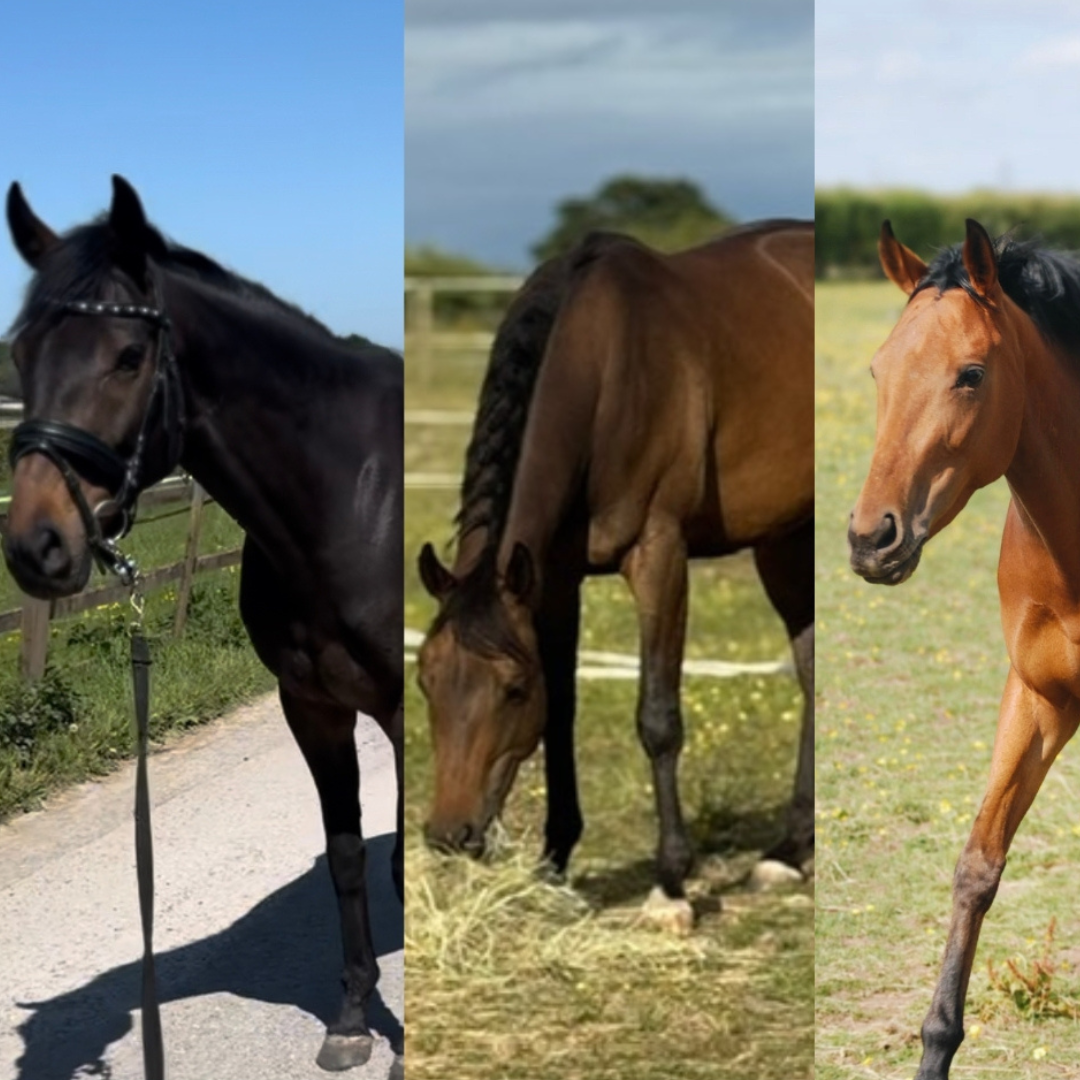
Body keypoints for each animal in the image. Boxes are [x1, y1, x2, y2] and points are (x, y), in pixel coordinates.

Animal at [3, 176, 402, 1075]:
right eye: (21, 350)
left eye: (128, 355)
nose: (36, 545)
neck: (351, 499)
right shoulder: (311, 705)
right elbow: (348, 851)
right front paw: (352, 1018)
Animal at [417, 222, 815, 916]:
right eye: (425, 682)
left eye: (511, 690)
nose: (450, 834)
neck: (606, 372)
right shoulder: (550, 581)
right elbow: (562, 712)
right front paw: (553, 864)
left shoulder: (660, 556)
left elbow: (658, 716)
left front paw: (671, 883)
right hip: (783, 541)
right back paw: (789, 851)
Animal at [849, 218, 1080, 1079]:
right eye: (879, 369)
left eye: (970, 374)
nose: (870, 537)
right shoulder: (1039, 696)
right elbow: (977, 866)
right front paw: (936, 1044)